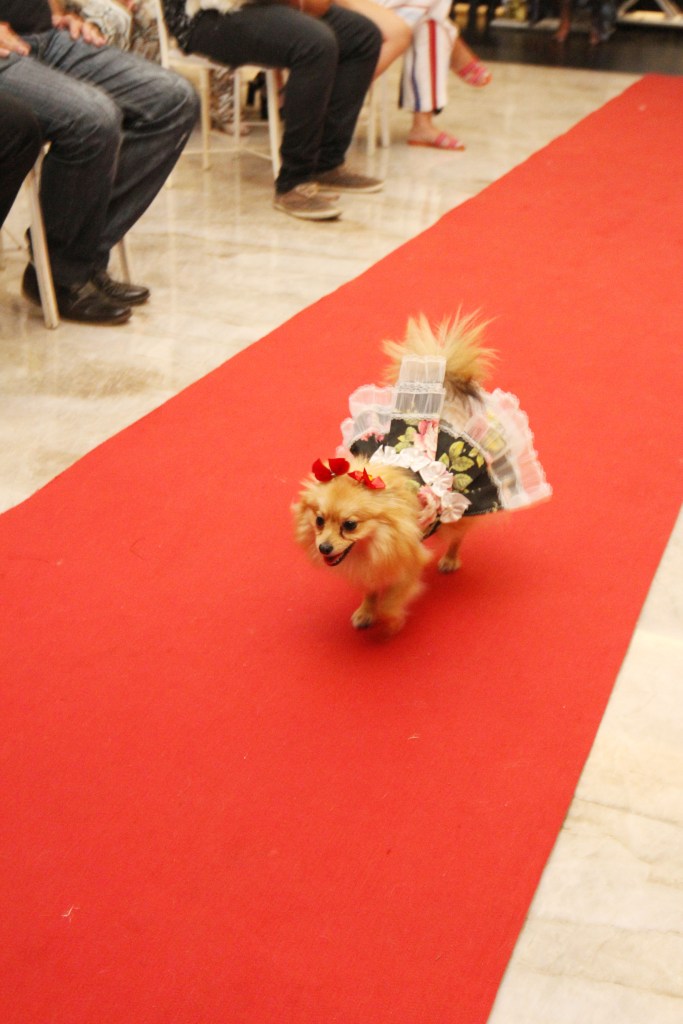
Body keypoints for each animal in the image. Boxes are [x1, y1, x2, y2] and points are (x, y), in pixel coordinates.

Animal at [292, 311, 548, 630]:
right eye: (318, 521)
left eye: (350, 525)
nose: (324, 547)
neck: (372, 546)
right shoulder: (373, 567)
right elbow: (372, 589)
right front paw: (366, 611)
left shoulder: (408, 562)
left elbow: (395, 594)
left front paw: (389, 617)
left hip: (461, 510)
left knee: (458, 535)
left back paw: (450, 560)